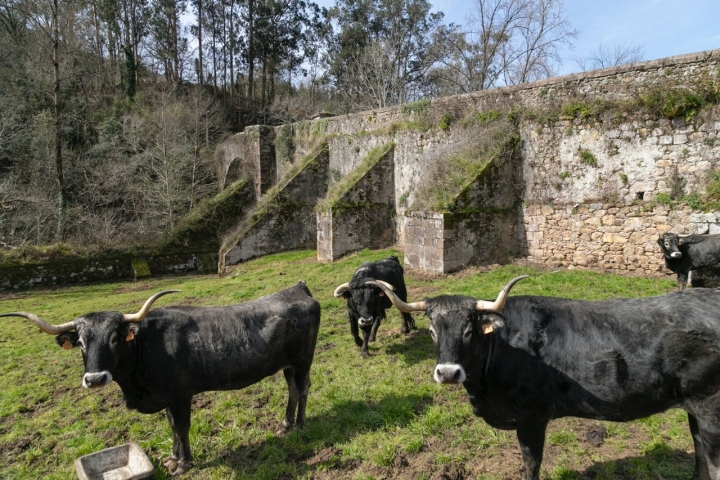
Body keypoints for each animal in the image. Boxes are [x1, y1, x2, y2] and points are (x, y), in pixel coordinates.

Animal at [1, 282, 320, 476]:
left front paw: (183, 463)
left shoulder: (180, 395)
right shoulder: (166, 397)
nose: (94, 378)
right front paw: (172, 458)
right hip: (287, 365)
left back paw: (300, 425)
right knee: (292, 390)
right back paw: (285, 423)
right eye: (80, 342)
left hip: (303, 361)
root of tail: (298, 289)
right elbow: (171, 427)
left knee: (303, 388)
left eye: (115, 338)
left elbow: (181, 427)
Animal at [370, 275, 720, 480]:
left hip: (710, 409)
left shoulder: (531, 417)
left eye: (469, 328)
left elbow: (531, 463)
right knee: (700, 454)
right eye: (431, 330)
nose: (448, 372)